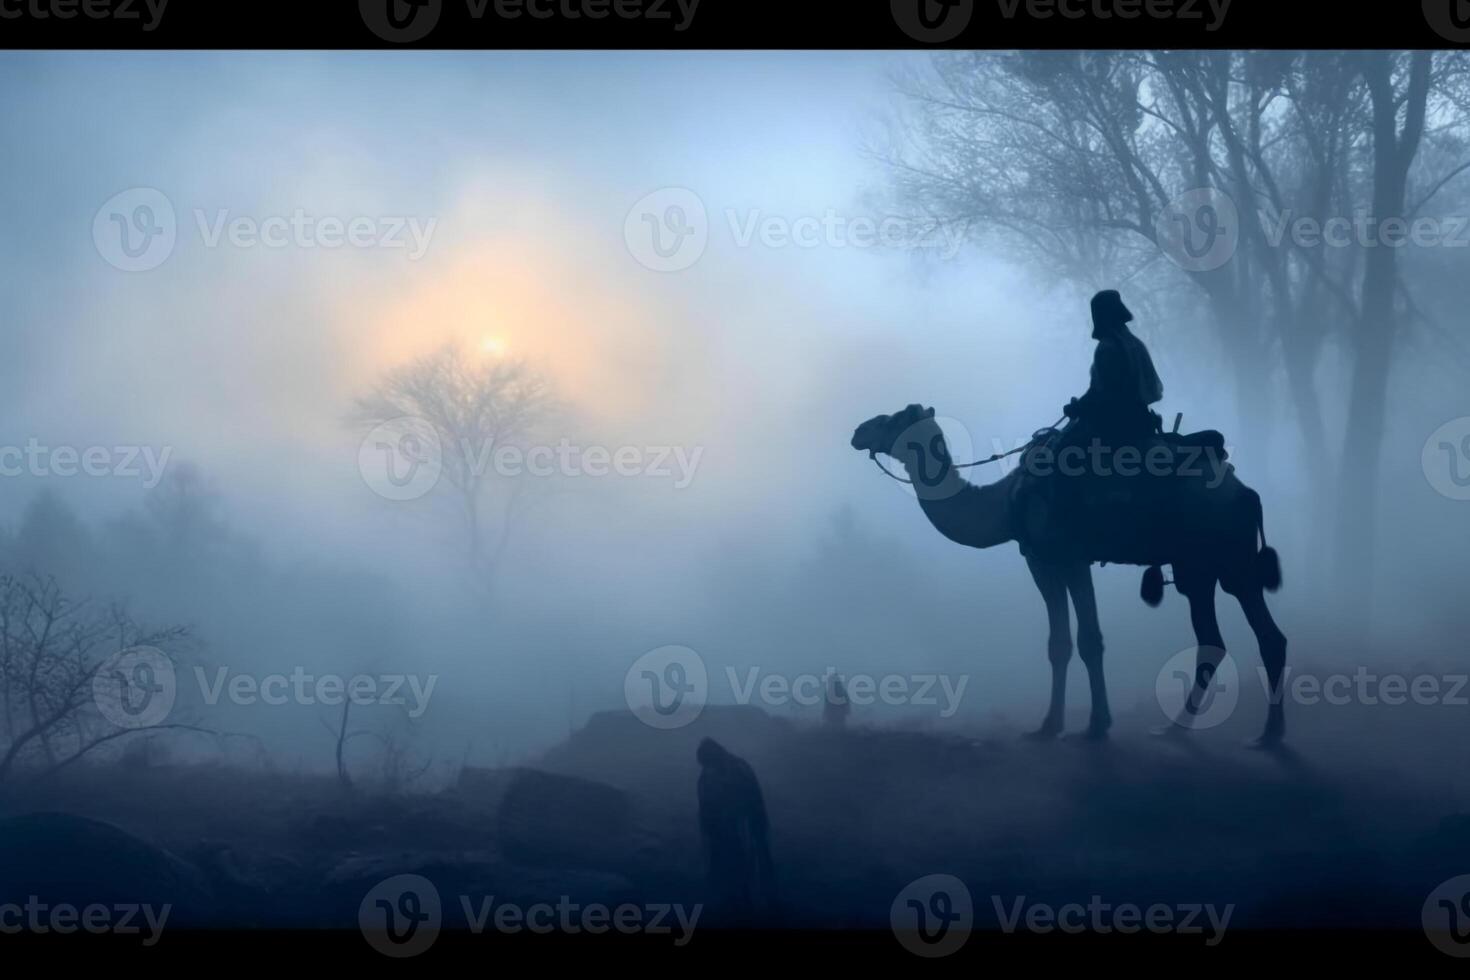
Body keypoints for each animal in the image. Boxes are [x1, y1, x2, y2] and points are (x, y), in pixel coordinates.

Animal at [852, 402, 1287, 746]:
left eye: (895, 417)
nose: (859, 431)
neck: (1004, 502)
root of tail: (1245, 492)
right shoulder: (1045, 560)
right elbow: (1060, 642)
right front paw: (1054, 725)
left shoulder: (1065, 558)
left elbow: (1086, 640)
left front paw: (1090, 726)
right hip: (1196, 569)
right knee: (1213, 639)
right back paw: (1175, 728)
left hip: (1231, 559)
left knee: (1267, 636)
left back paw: (1268, 735)